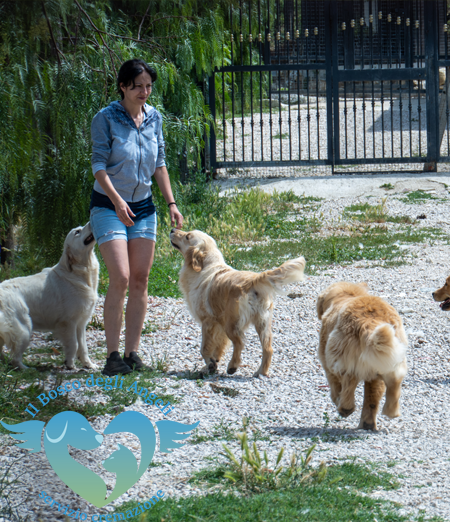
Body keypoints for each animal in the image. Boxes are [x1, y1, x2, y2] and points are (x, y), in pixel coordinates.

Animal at [0, 221, 99, 368]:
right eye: (77, 232)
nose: (91, 221)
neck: (79, 272)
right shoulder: (69, 322)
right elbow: (74, 345)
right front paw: (70, 365)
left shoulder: (81, 323)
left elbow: (83, 347)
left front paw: (89, 365)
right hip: (24, 328)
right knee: (16, 358)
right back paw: (25, 368)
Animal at [170, 228, 306, 374]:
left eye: (187, 236)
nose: (172, 229)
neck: (205, 266)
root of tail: (253, 280)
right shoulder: (219, 326)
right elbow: (218, 348)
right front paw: (212, 363)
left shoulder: (208, 322)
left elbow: (204, 348)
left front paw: (210, 364)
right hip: (262, 322)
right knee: (268, 348)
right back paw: (261, 372)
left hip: (232, 324)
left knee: (240, 343)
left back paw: (232, 366)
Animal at [316, 282, 408, 428]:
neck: (345, 295)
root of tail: (370, 321)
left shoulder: (326, 355)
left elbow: (333, 380)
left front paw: (336, 397)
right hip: (391, 354)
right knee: (391, 381)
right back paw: (388, 413)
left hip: (344, 352)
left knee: (349, 378)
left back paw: (345, 408)